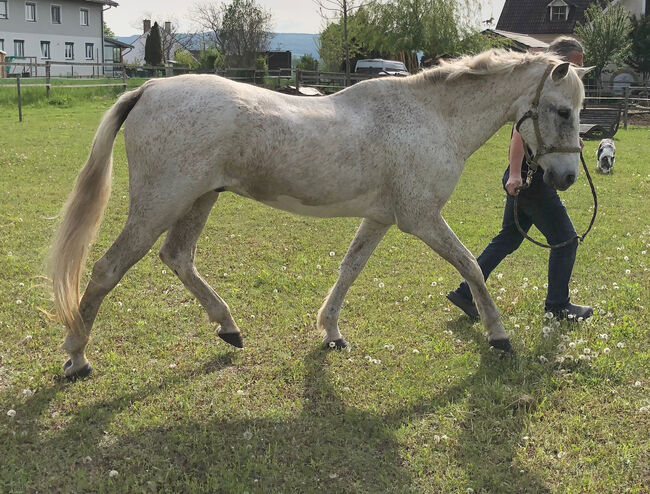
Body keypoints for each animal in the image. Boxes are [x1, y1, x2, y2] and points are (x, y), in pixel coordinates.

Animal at [48, 49, 588, 378]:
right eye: (564, 110)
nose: (564, 177)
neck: (431, 118)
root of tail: (152, 89)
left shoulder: (381, 218)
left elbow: (350, 268)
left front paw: (330, 332)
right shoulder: (421, 219)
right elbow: (472, 266)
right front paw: (498, 335)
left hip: (199, 198)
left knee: (178, 258)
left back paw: (229, 327)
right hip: (161, 202)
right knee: (107, 269)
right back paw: (77, 357)